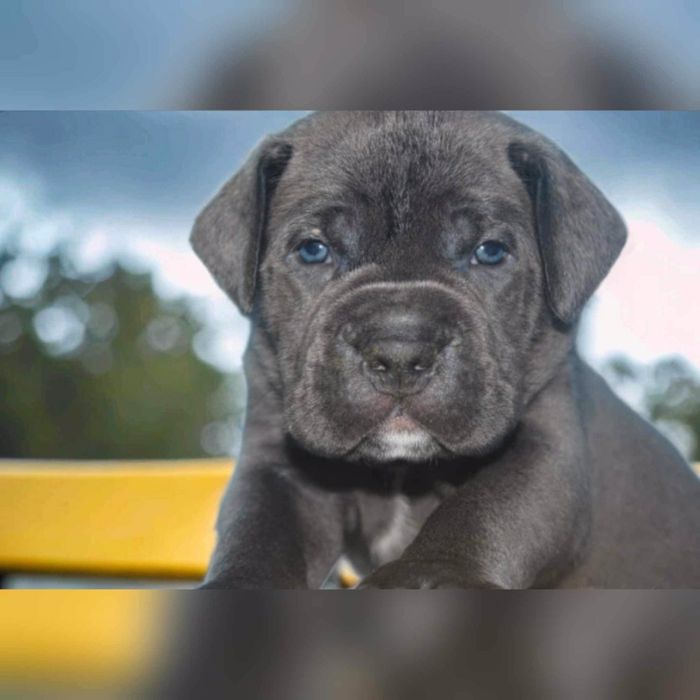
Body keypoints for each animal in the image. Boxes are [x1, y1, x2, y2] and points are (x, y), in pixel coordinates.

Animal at [192, 111, 700, 588]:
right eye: (313, 250)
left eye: (490, 251)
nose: (399, 351)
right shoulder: (277, 466)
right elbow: (258, 534)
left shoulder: (547, 444)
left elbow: (484, 507)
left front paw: (425, 576)